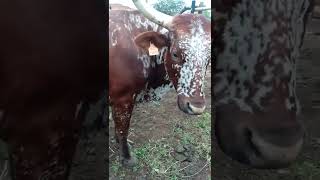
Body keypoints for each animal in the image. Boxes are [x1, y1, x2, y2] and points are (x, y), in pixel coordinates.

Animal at [109, 0, 211, 166]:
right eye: (175, 53)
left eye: (209, 57)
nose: (196, 107)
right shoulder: (123, 98)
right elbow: (123, 127)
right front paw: (127, 157)